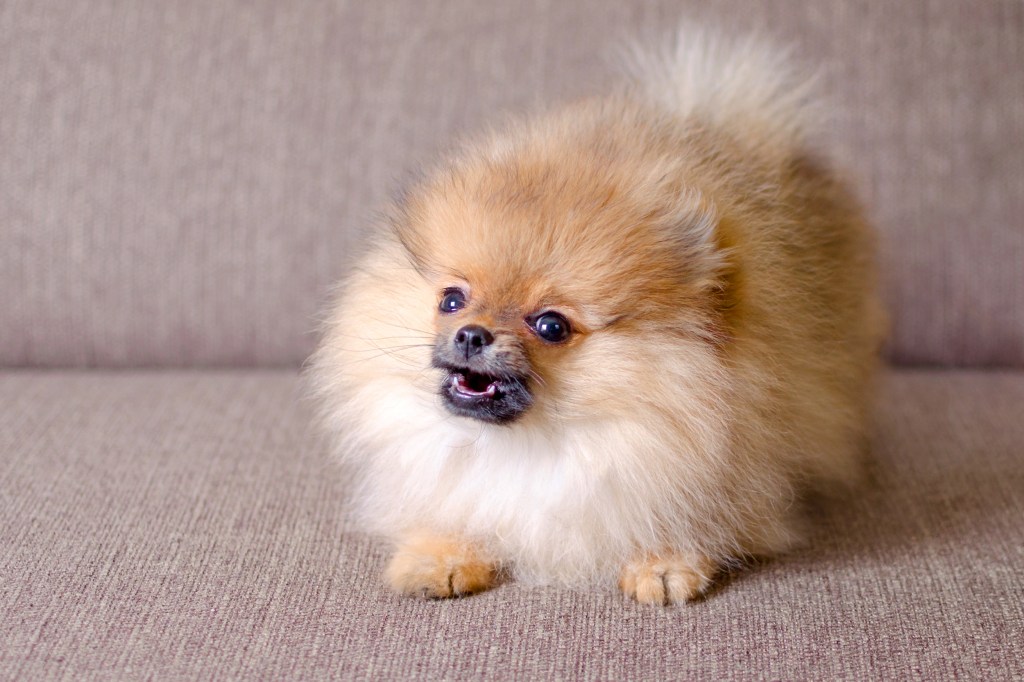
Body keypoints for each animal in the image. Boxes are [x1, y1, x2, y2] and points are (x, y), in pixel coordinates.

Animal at [309, 26, 880, 602]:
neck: (535, 446)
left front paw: (664, 562)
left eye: (551, 326)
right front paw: (439, 552)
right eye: (452, 299)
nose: (471, 335)